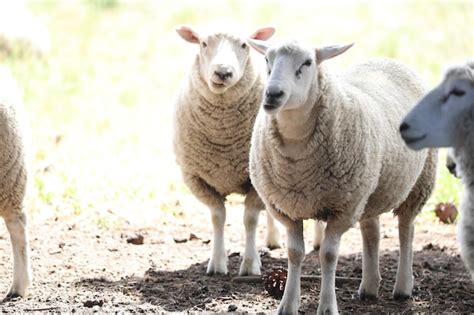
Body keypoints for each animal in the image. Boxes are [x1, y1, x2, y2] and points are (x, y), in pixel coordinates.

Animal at [174, 24, 286, 276]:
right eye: (203, 43)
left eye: (244, 45)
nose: (223, 72)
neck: (222, 134)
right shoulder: (197, 179)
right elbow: (218, 217)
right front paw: (217, 263)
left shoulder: (255, 181)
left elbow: (250, 219)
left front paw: (250, 264)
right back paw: (273, 239)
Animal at [248, 40, 436, 315]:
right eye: (267, 60)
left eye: (307, 63)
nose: (272, 95)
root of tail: (389, 60)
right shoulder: (287, 209)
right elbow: (294, 253)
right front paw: (288, 304)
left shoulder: (342, 209)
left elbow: (328, 255)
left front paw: (327, 306)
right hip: (369, 191)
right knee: (372, 232)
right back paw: (369, 287)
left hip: (419, 183)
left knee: (406, 230)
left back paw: (403, 287)